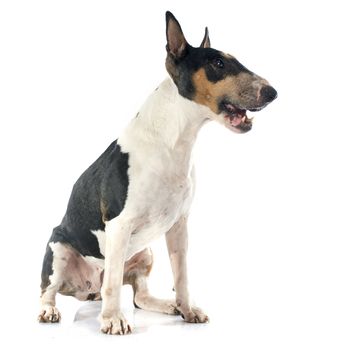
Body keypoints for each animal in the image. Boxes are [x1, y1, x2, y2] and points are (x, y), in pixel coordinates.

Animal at [38, 10, 278, 334]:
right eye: (218, 63)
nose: (272, 93)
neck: (173, 141)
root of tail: (88, 289)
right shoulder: (119, 225)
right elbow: (112, 283)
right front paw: (113, 320)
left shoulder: (179, 225)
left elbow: (182, 275)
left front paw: (188, 310)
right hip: (59, 250)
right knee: (53, 288)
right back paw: (51, 311)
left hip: (144, 254)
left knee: (139, 296)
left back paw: (168, 305)